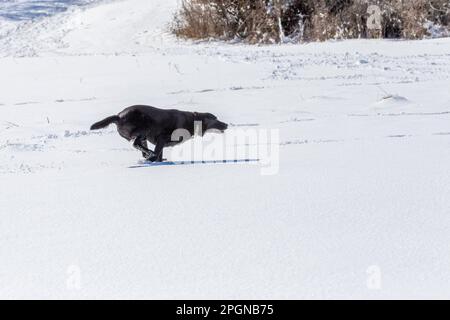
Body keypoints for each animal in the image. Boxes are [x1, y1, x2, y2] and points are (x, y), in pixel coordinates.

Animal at [90, 105, 229, 161]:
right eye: (216, 119)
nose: (227, 125)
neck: (193, 121)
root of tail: (118, 116)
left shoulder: (160, 142)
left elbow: (160, 154)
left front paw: (158, 161)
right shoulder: (162, 138)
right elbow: (157, 152)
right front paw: (153, 158)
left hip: (143, 135)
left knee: (140, 147)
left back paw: (148, 155)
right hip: (144, 128)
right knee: (136, 144)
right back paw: (149, 154)